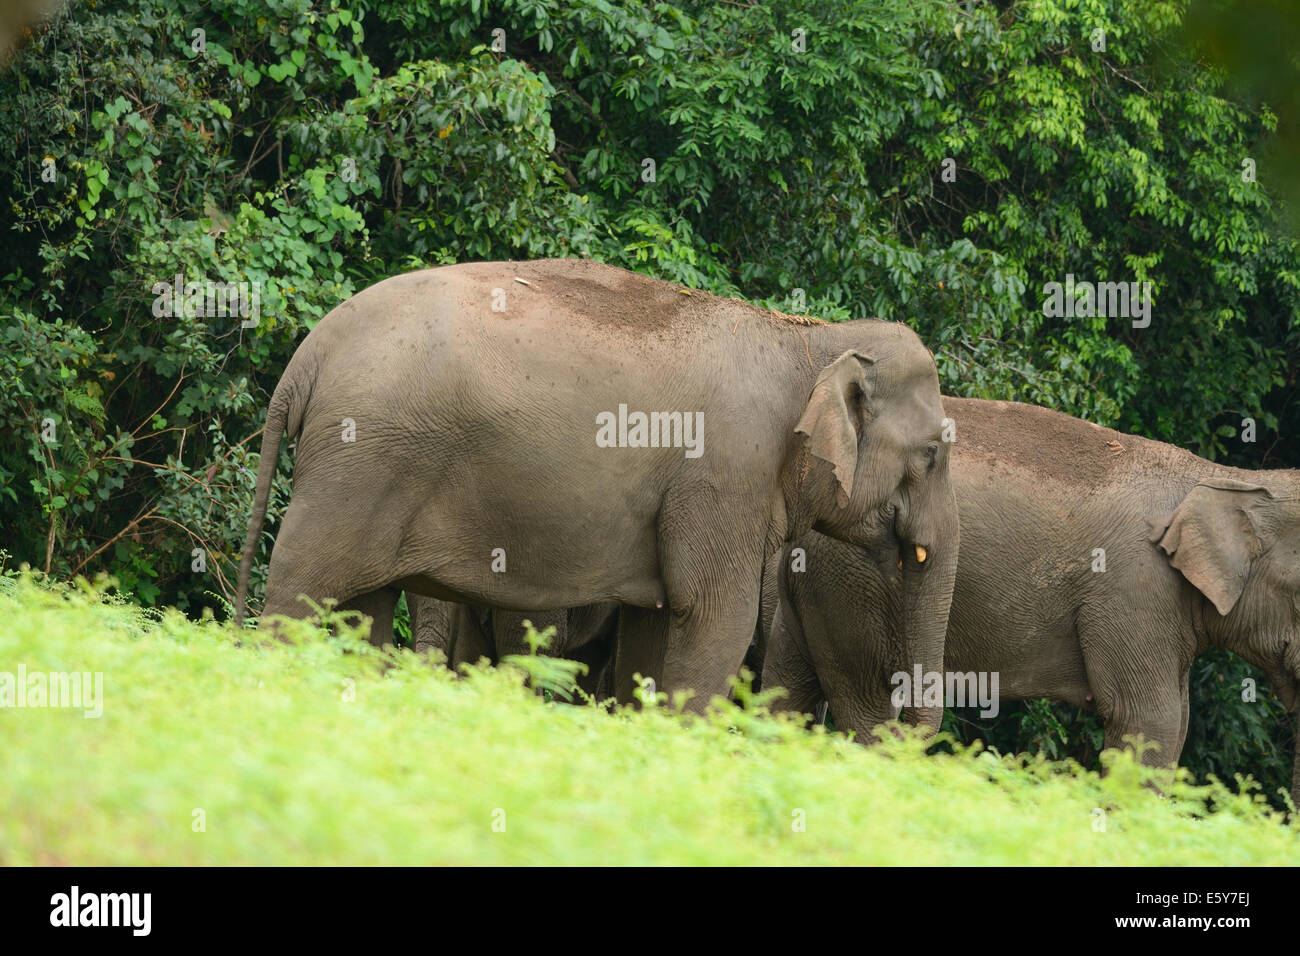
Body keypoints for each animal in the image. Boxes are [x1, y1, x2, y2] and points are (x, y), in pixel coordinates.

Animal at [760, 396, 1300, 801]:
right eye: (1298, 592)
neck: (1222, 476)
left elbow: (1178, 721)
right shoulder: (1136, 593)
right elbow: (1148, 720)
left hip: (815, 586)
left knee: (788, 688)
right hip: (854, 583)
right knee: (868, 710)